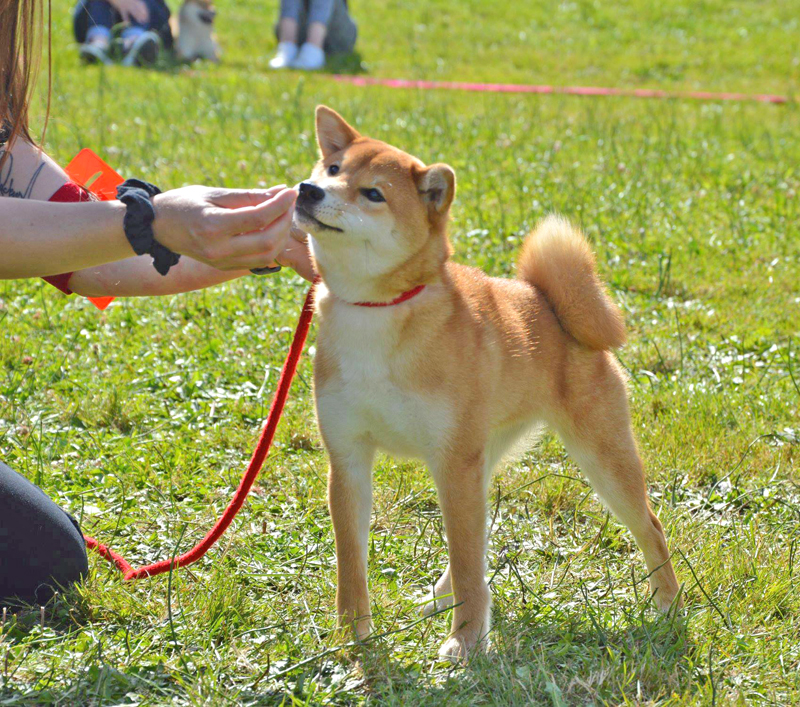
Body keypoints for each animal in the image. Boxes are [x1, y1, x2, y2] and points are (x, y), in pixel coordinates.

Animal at [302, 106, 680, 664]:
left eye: (373, 193)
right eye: (331, 169)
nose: (307, 190)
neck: (376, 312)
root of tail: (546, 300)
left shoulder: (452, 461)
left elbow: (466, 557)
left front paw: (465, 640)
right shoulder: (348, 457)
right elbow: (353, 565)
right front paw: (353, 638)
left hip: (598, 456)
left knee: (649, 526)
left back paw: (669, 606)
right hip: (484, 452)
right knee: (475, 545)